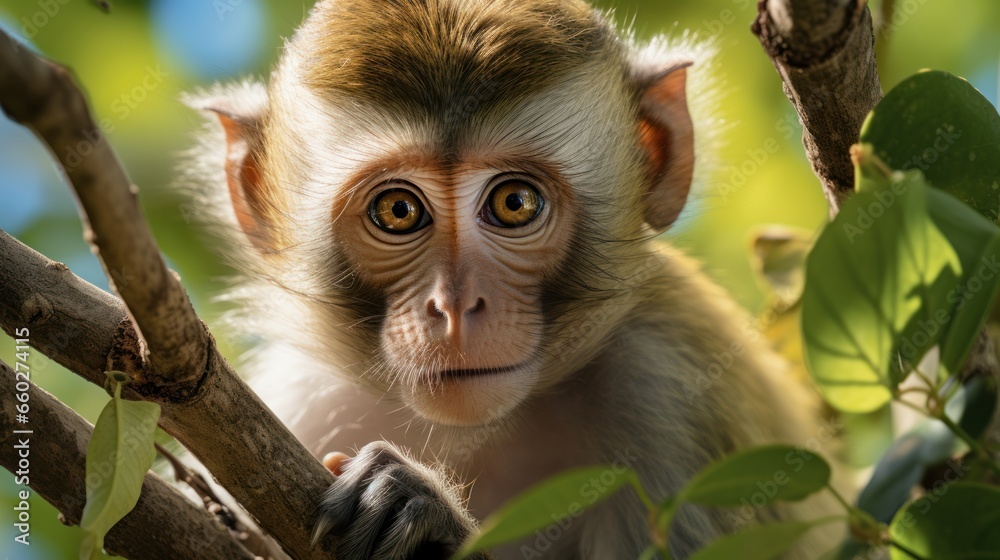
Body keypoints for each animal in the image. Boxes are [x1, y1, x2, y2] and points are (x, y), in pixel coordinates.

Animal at [184, 0, 845, 558]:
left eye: (514, 203)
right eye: (398, 210)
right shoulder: (302, 394)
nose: (455, 306)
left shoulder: (672, 392)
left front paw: (425, 507)